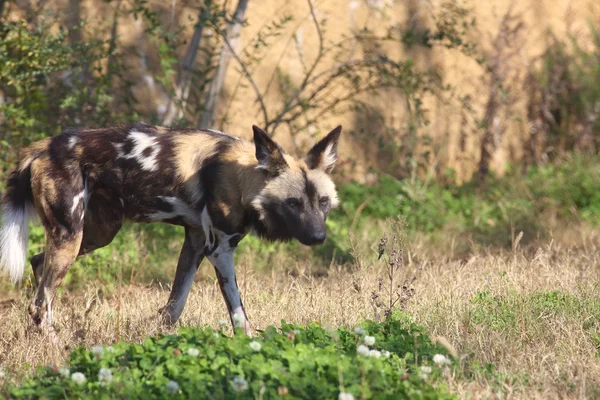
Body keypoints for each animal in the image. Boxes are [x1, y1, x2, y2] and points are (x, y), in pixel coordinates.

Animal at [0, 122, 340, 334]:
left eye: (323, 202)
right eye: (293, 203)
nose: (318, 237)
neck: (241, 176)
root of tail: (42, 147)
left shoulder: (195, 242)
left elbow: (174, 305)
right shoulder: (219, 251)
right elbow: (238, 312)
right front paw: (249, 344)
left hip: (95, 234)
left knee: (38, 267)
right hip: (71, 236)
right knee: (39, 303)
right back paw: (55, 346)